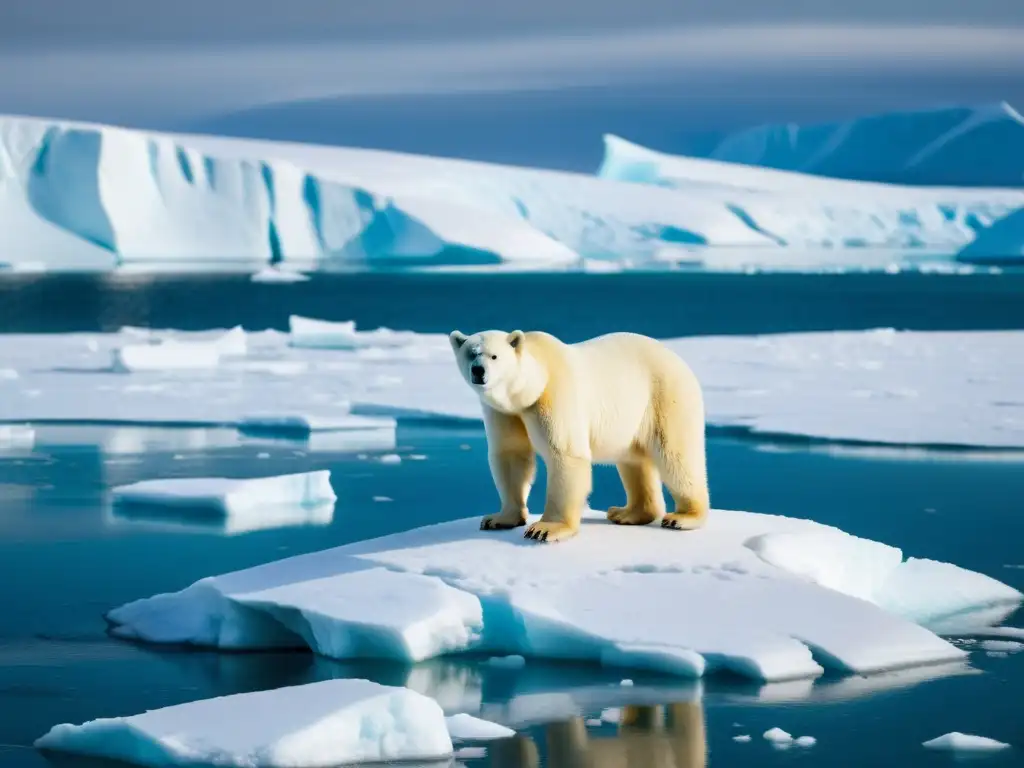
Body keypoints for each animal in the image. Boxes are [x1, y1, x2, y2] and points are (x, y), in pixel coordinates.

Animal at [450, 329, 712, 540]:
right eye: (471, 354)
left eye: (494, 356)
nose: (478, 371)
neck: (532, 386)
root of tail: (677, 359)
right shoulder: (505, 413)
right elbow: (511, 454)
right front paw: (499, 518)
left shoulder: (553, 397)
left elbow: (565, 455)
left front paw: (544, 529)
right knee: (633, 460)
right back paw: (627, 513)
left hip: (664, 395)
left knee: (675, 455)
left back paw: (683, 516)